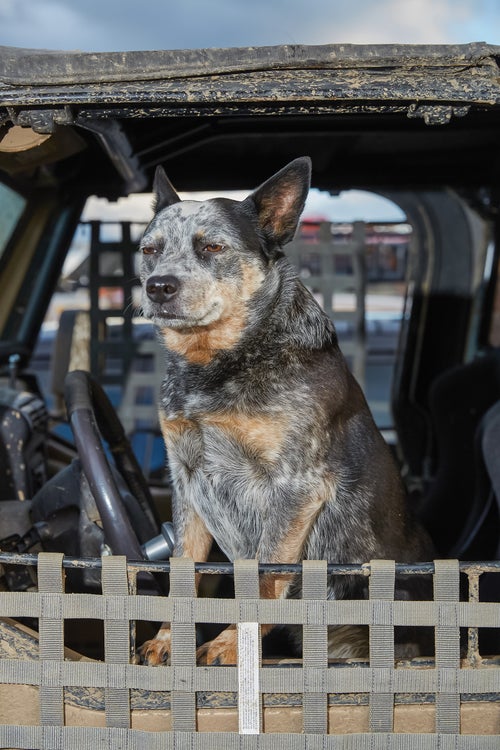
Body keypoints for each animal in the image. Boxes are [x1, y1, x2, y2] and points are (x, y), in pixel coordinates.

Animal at [138, 157, 434, 664]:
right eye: (149, 250)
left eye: (213, 246)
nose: (158, 287)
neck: (217, 363)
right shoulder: (186, 480)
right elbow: (182, 571)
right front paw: (166, 639)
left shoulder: (295, 485)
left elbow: (264, 577)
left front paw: (231, 644)